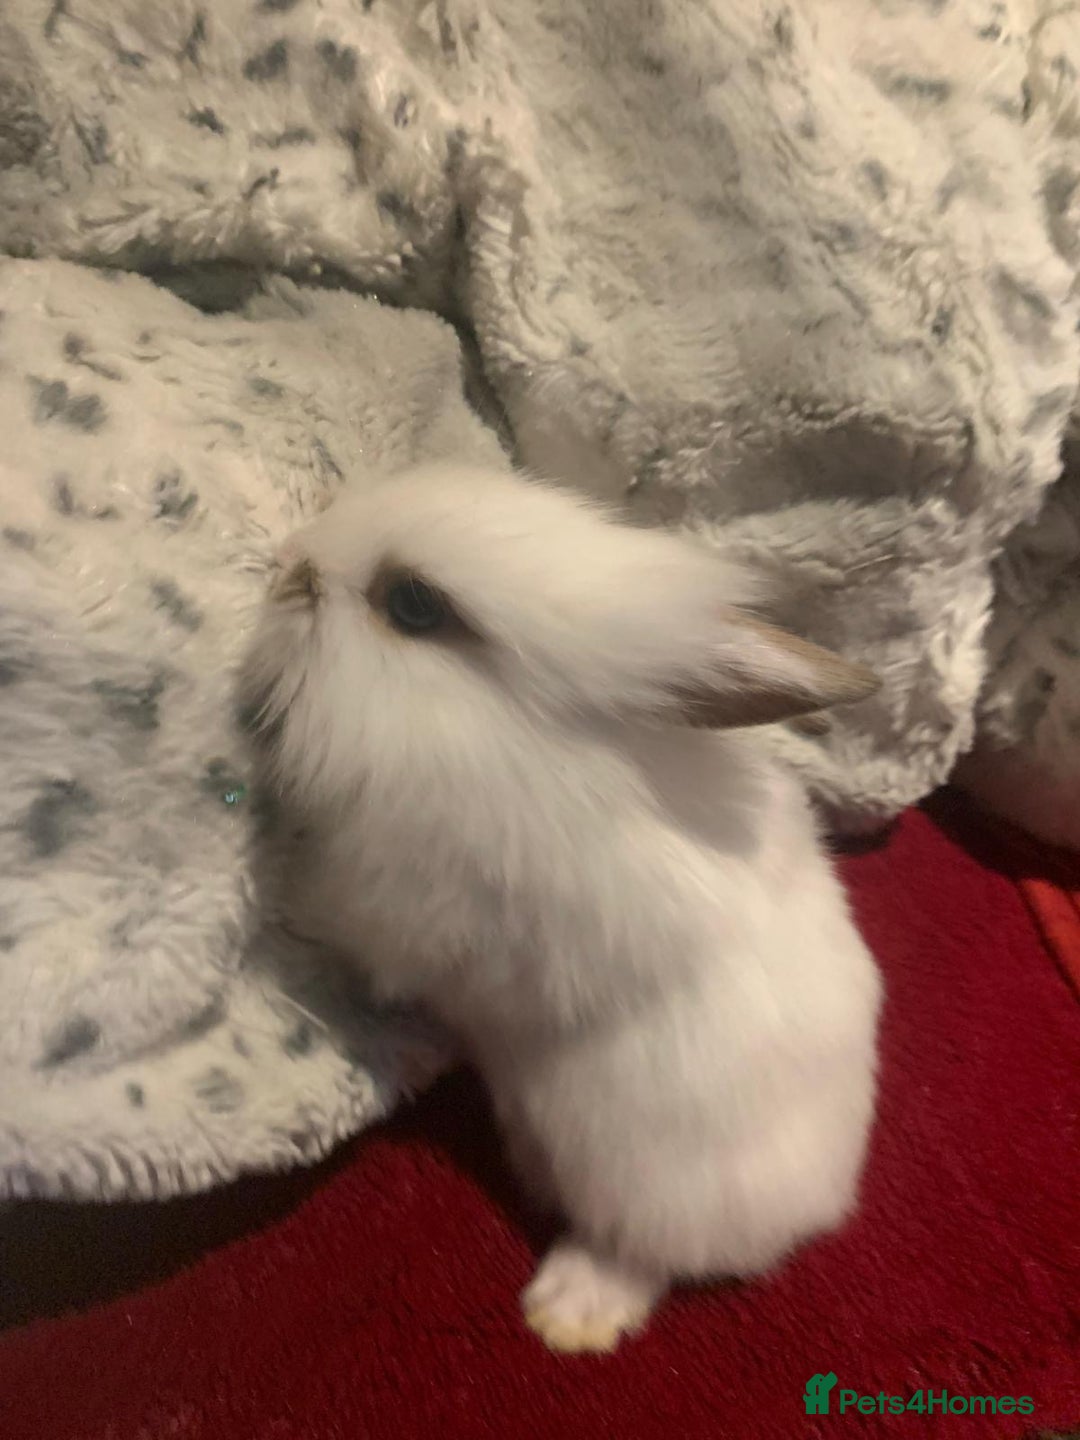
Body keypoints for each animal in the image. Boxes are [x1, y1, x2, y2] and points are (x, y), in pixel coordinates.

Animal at [242, 459, 884, 1354]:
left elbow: (343, 928)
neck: (503, 738)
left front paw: (275, 912)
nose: (292, 559)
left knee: (645, 1255)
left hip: (642, 1184)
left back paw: (570, 1315)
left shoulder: (404, 912)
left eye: (413, 604)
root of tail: (816, 1209)